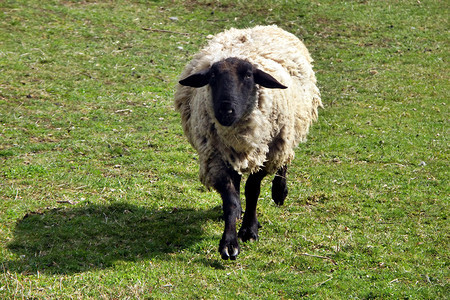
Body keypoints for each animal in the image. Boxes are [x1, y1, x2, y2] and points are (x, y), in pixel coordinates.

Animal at [174, 25, 322, 260]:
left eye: (249, 75)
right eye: (213, 76)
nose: (225, 111)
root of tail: (263, 26)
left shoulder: (266, 154)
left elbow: (253, 190)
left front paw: (249, 230)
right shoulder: (216, 158)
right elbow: (231, 200)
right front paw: (229, 242)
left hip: (286, 133)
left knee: (285, 159)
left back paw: (280, 192)